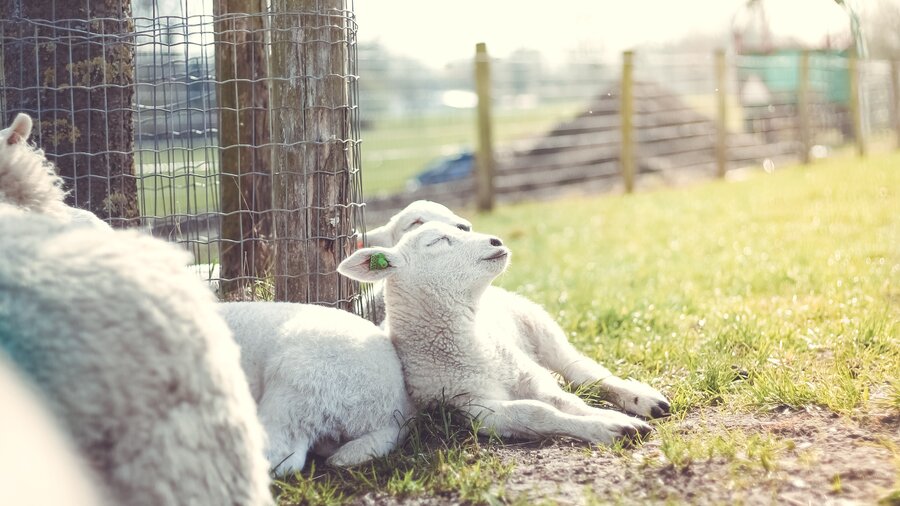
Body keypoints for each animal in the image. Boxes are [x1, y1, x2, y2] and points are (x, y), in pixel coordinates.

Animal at [339, 223, 669, 445]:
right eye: (438, 241)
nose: (495, 240)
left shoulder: (528, 375)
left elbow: (565, 401)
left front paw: (615, 419)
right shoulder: (472, 408)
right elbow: (536, 413)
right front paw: (612, 427)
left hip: (539, 326)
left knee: (583, 372)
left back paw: (643, 399)